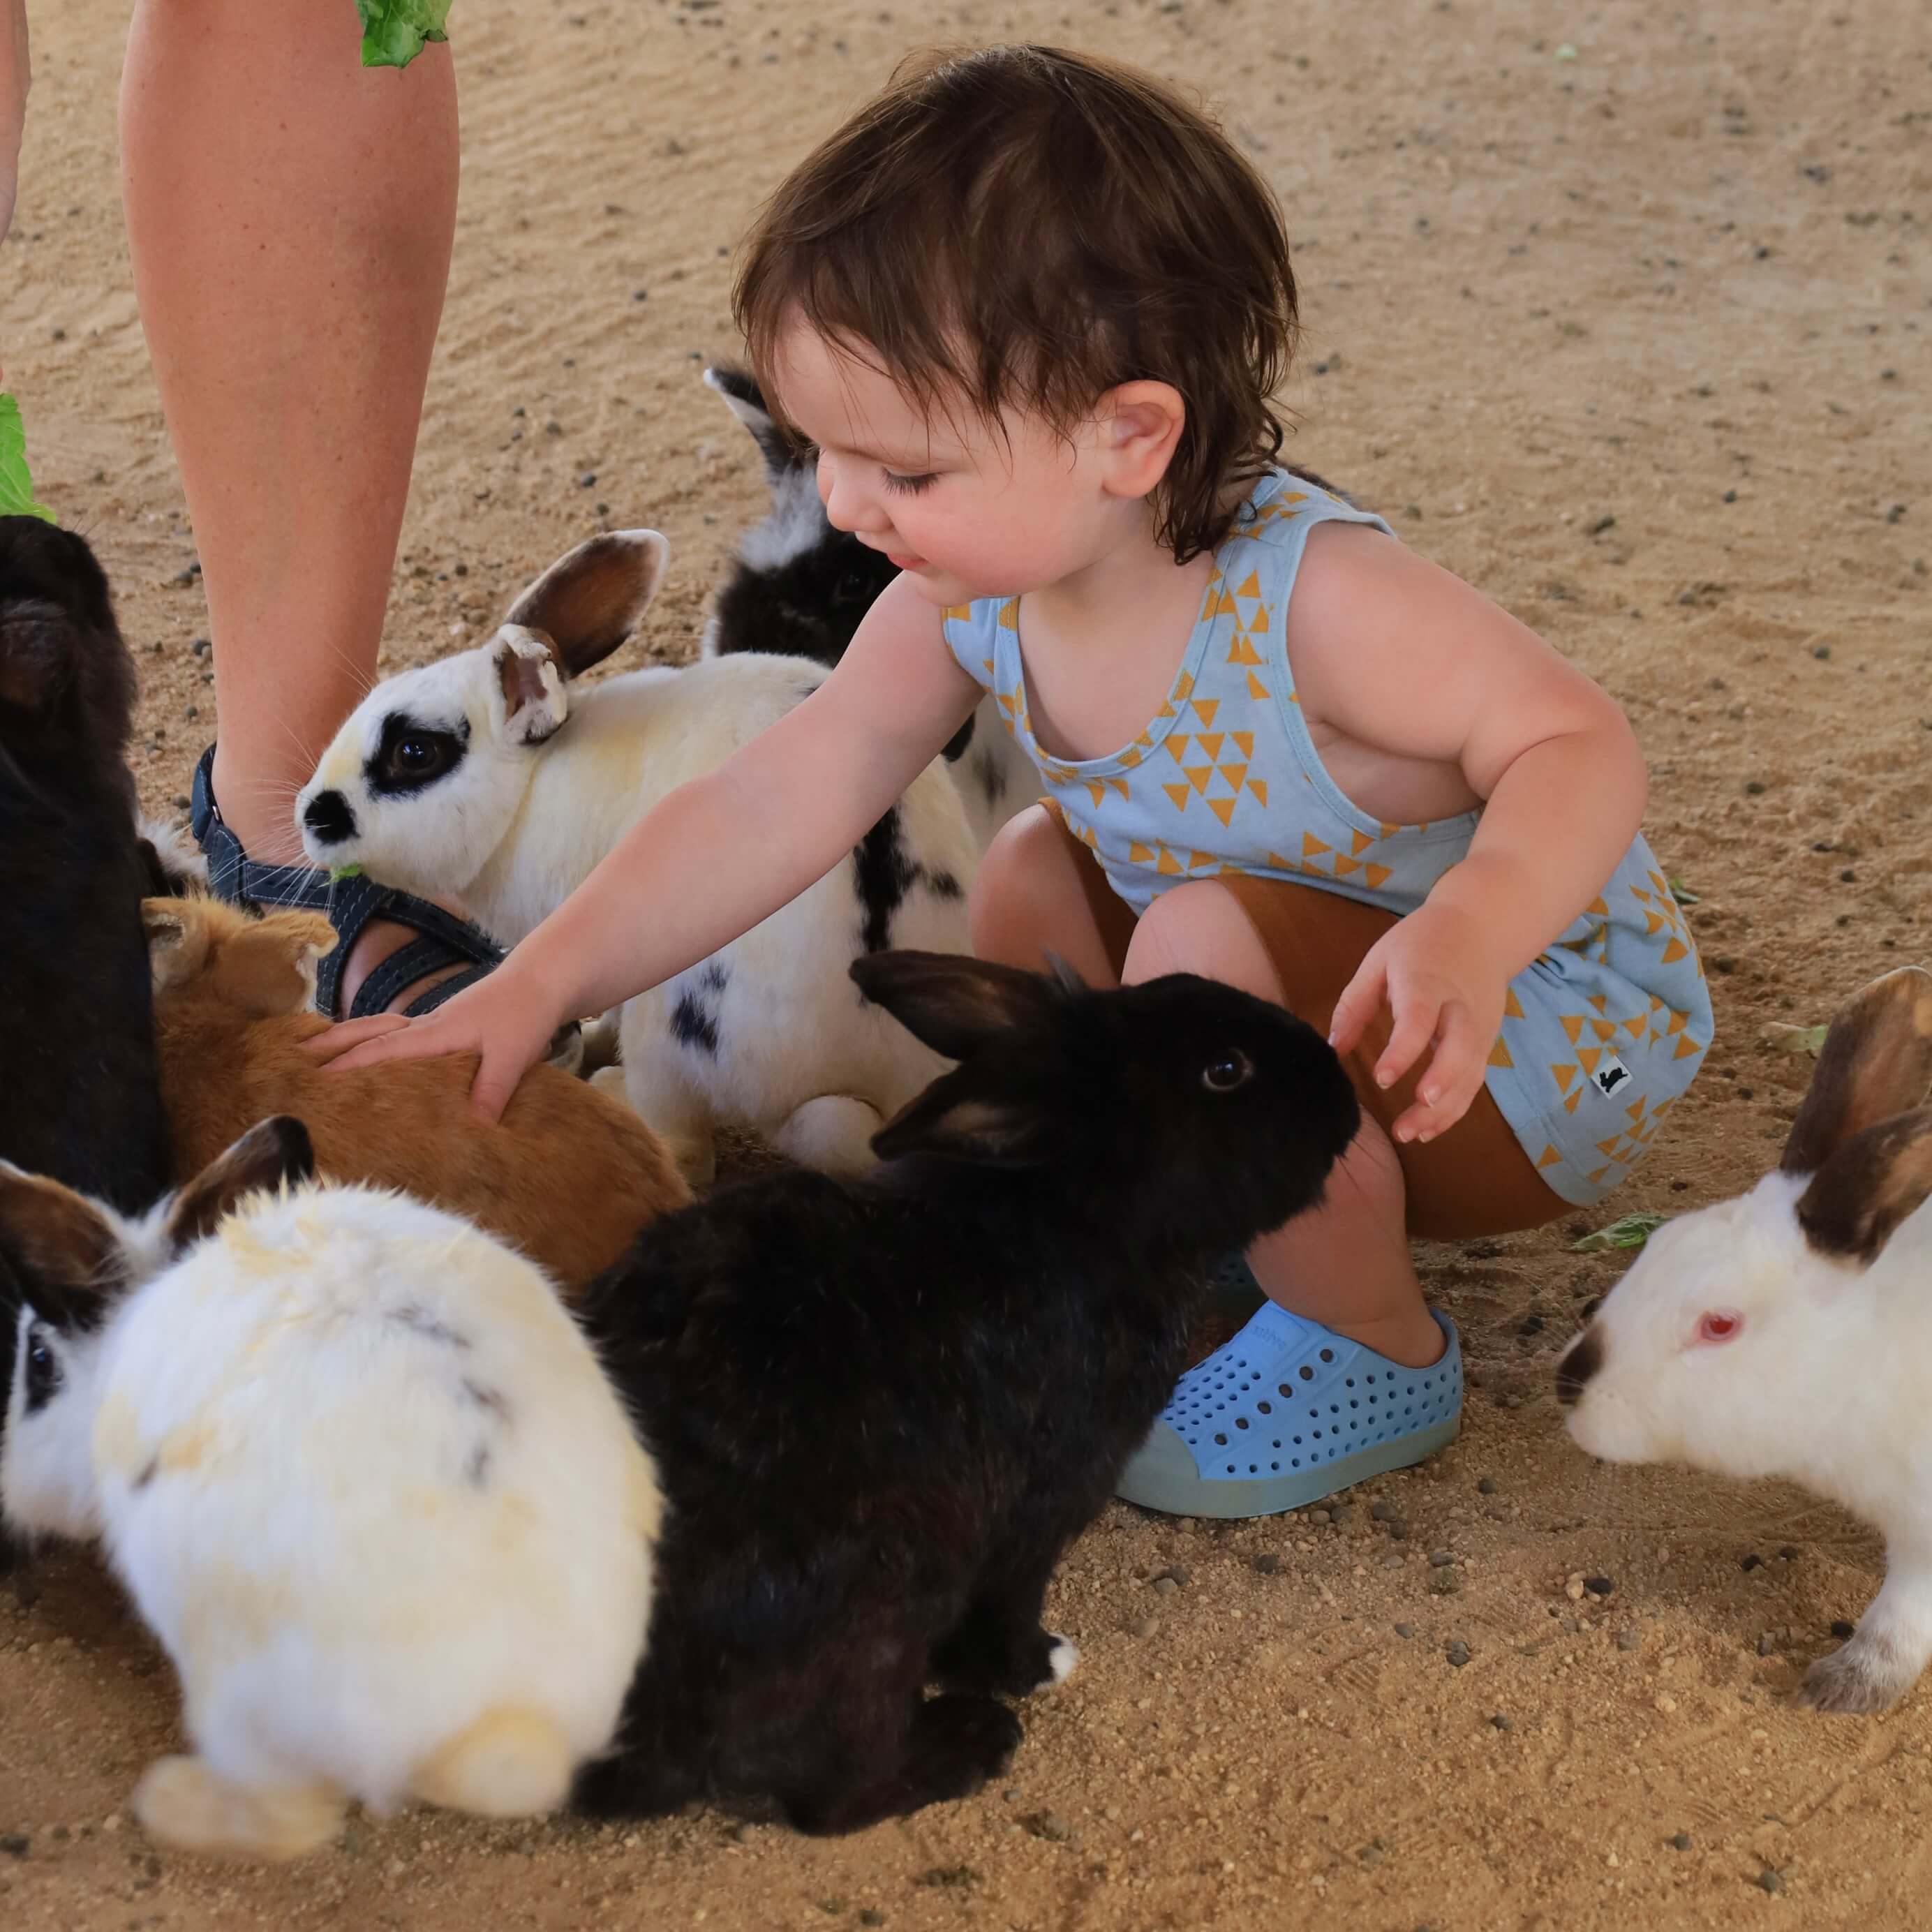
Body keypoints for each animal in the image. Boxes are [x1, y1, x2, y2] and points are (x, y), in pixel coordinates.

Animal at [0, 1128, 660, 1862]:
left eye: (38, 1364)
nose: (11, 1490)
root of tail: (500, 1722)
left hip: (232, 1696)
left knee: (292, 1822)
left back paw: (169, 1801)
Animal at [295, 533, 981, 1190]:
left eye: (415, 752)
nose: (312, 814)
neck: (529, 789)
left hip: (667, 1038)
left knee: (683, 1150)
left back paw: (612, 1092)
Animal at [572, 958, 1360, 1831]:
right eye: (1225, 1070)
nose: (1345, 1092)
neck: (1080, 1217)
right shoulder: (1039, 1511)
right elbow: (1008, 1604)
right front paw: (1039, 1664)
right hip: (885, 1600)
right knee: (835, 1793)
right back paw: (971, 1740)